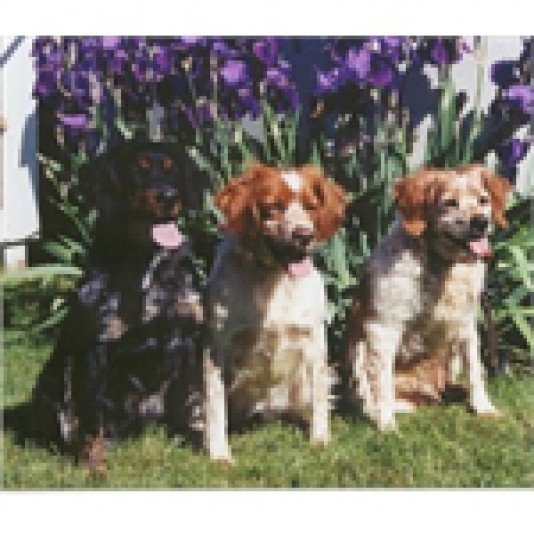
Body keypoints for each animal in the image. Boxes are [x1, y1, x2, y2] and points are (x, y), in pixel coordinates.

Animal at [30, 142, 205, 478]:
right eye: (138, 169)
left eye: (172, 169)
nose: (168, 195)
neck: (147, 268)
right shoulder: (98, 348)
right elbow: (93, 418)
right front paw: (94, 466)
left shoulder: (191, 337)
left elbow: (197, 403)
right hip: (50, 382)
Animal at [204, 161, 348, 462]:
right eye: (273, 207)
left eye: (311, 206)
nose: (304, 235)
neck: (273, 278)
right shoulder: (216, 346)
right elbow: (215, 404)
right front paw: (220, 454)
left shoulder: (315, 339)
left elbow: (319, 397)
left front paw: (320, 440)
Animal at [348, 165, 516, 434]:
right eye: (449, 203)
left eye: (483, 200)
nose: (481, 222)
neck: (442, 265)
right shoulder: (382, 327)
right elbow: (382, 385)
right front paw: (386, 424)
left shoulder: (466, 324)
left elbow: (475, 372)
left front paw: (484, 408)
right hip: (360, 352)